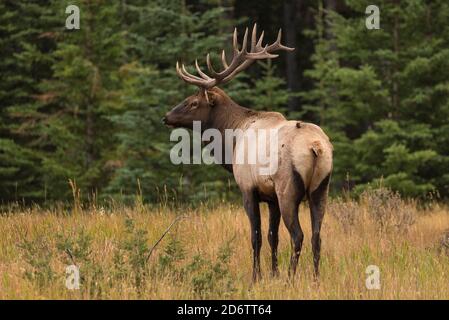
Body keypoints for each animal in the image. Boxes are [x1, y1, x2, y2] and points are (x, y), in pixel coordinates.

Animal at [163, 23, 330, 282]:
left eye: (193, 103)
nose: (166, 116)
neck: (230, 144)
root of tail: (316, 147)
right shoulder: (270, 198)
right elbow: (273, 236)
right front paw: (273, 273)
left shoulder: (248, 189)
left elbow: (256, 237)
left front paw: (256, 277)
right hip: (320, 189)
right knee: (317, 237)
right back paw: (315, 278)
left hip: (288, 189)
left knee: (298, 235)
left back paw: (291, 278)